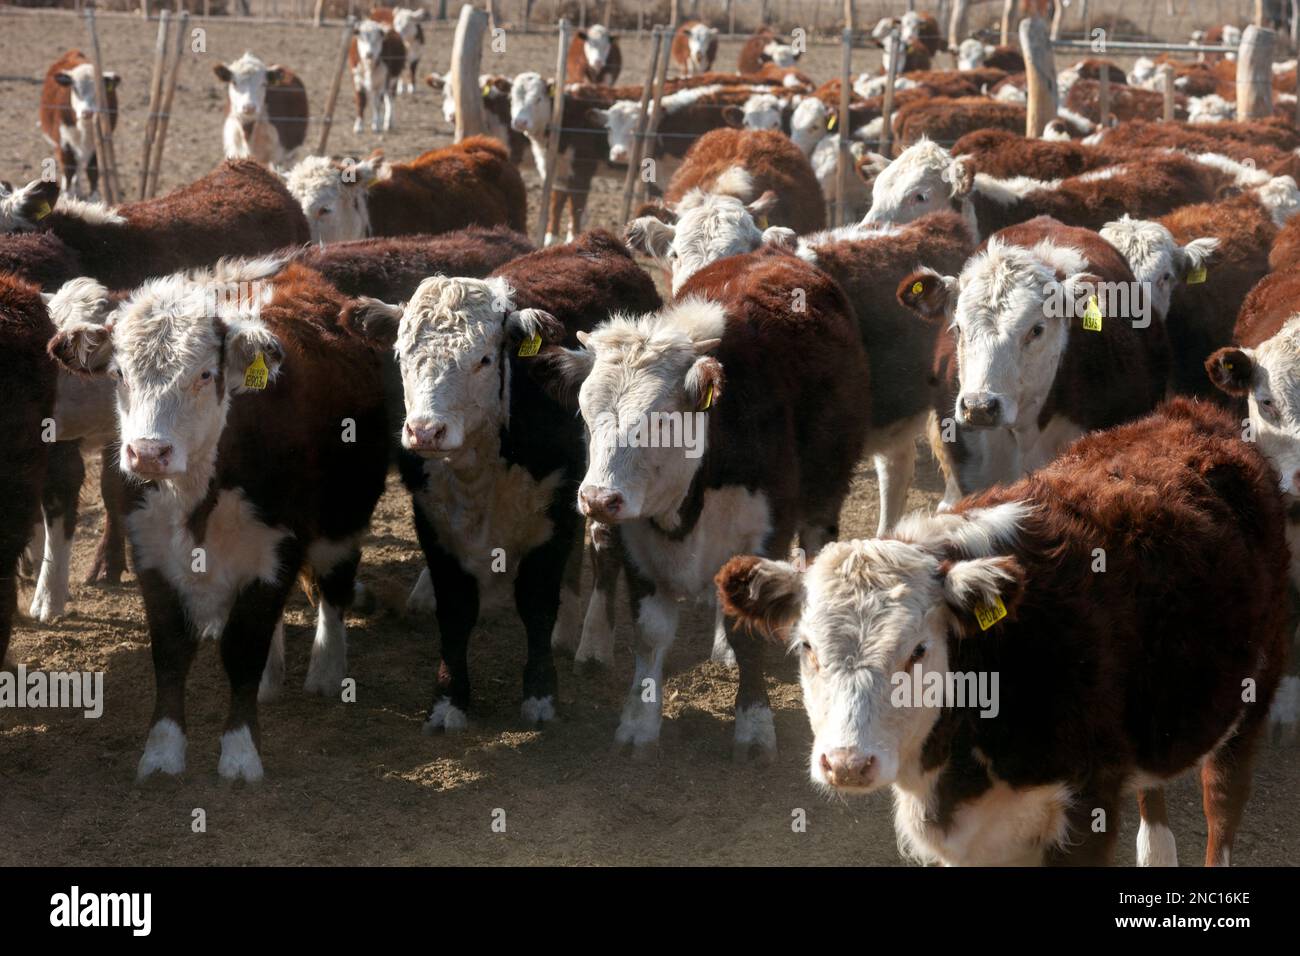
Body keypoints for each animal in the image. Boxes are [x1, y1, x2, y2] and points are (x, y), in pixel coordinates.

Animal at [39, 50, 120, 199]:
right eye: (75, 88)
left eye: (100, 91)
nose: (87, 112)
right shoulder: (63, 142)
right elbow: (68, 170)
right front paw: (67, 196)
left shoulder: (96, 144)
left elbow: (93, 171)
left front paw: (94, 198)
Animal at [48, 258, 391, 783]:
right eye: (119, 374)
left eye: (206, 374)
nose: (148, 453)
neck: (197, 492)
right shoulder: (150, 551)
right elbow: (171, 650)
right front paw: (163, 751)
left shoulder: (277, 548)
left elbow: (243, 647)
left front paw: (240, 752)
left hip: (343, 515)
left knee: (334, 584)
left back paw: (327, 670)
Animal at [348, 231, 662, 729]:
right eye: (402, 355)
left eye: (483, 358)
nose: (425, 431)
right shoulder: (432, 520)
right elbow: (456, 609)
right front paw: (449, 699)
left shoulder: (552, 513)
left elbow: (536, 602)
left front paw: (540, 695)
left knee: (601, 545)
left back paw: (590, 641)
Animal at [531, 247, 871, 760]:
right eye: (586, 415)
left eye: (660, 422)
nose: (597, 499)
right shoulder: (638, 540)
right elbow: (651, 633)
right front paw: (639, 724)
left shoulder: (764, 535)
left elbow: (748, 633)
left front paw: (754, 728)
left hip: (824, 494)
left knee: (815, 543)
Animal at [717, 397, 1288, 866]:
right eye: (807, 647)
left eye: (918, 650)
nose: (847, 764)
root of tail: (1188, 415)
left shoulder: (1087, 813)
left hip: (1250, 702)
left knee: (1222, 808)